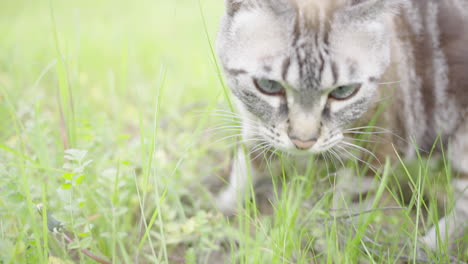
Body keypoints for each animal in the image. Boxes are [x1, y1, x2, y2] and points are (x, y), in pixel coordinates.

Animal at [215, 0, 468, 252]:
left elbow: (346, 212)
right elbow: (245, 169)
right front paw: (221, 209)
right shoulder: (254, 129)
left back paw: (428, 247)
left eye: (343, 91)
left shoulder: (372, 156)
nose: (303, 142)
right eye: (268, 85)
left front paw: (336, 246)